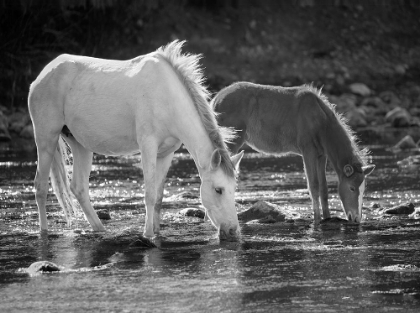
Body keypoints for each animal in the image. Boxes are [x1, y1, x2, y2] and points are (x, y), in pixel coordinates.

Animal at [28, 40, 243, 240]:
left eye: (234, 189)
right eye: (218, 190)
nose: (233, 230)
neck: (167, 97)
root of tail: (41, 77)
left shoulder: (166, 153)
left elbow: (158, 197)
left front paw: (157, 232)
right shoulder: (148, 146)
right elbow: (149, 194)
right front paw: (147, 234)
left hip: (80, 144)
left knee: (78, 188)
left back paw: (100, 229)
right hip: (46, 138)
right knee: (40, 187)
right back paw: (44, 232)